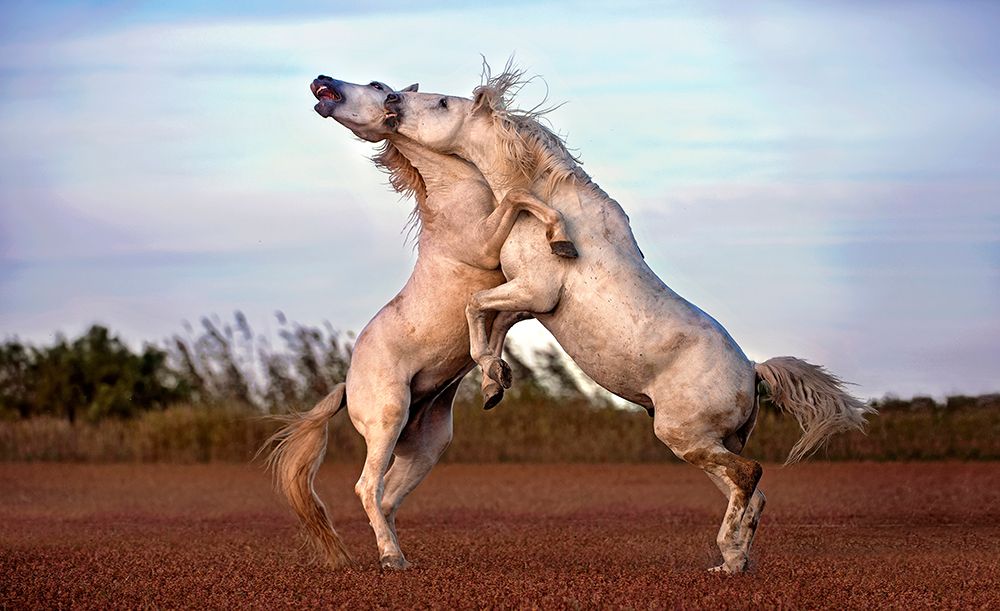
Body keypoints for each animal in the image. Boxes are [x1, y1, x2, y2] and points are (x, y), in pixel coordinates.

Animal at [265, 76, 578, 570]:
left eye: (375, 84)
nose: (322, 83)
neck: (454, 195)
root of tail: (347, 385)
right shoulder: (488, 248)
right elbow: (518, 197)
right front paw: (562, 238)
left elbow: (499, 324)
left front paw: (494, 379)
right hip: (388, 420)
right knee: (366, 487)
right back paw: (391, 558)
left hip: (426, 447)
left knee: (388, 498)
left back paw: (396, 553)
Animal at [383, 65, 876, 573]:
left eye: (442, 103)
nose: (393, 101)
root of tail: (753, 372)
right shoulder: (528, 301)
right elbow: (493, 321)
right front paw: (494, 382)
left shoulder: (534, 290)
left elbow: (476, 305)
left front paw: (491, 374)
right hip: (707, 443)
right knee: (751, 494)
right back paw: (732, 563)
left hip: (685, 436)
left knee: (749, 476)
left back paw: (727, 555)